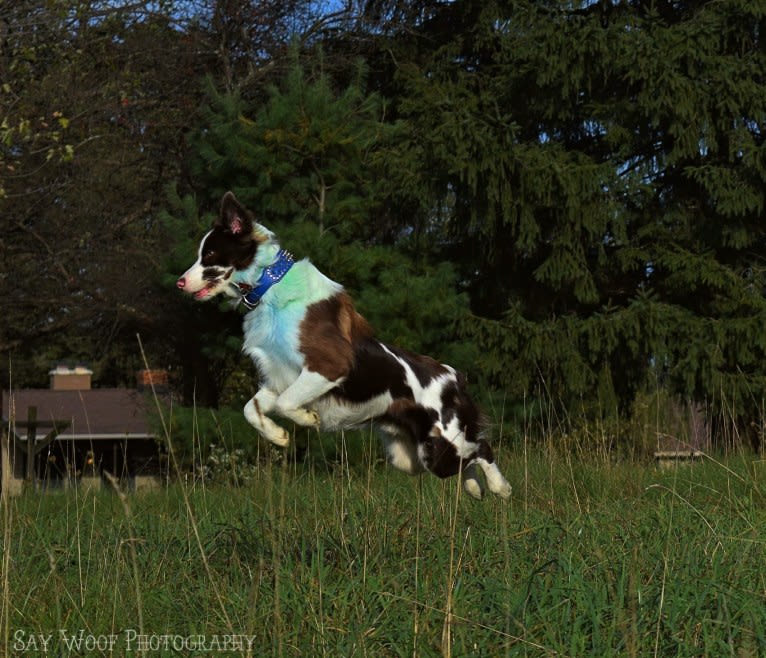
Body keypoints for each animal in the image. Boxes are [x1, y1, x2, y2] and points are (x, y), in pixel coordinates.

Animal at [178, 191, 512, 498]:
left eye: (210, 254)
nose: (180, 283)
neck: (268, 288)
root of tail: (454, 376)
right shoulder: (279, 376)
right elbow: (252, 408)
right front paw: (279, 436)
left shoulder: (328, 366)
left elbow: (286, 403)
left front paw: (307, 419)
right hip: (411, 457)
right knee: (466, 459)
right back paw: (474, 488)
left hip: (439, 445)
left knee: (481, 447)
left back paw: (500, 488)